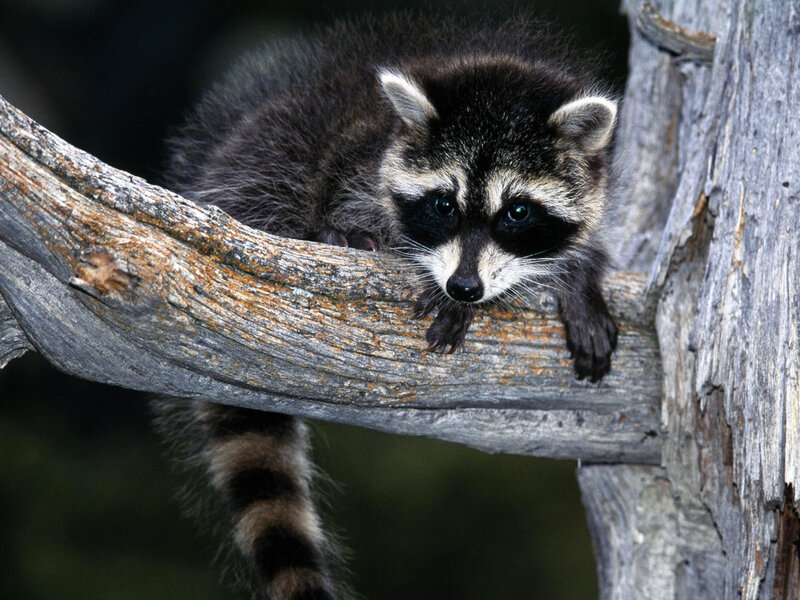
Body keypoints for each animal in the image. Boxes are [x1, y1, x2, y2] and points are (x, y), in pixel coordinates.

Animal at [158, 13, 618, 600]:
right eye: (443, 204)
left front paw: (577, 274)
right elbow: (350, 201)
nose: (463, 287)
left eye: (517, 212)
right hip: (265, 162)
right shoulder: (357, 158)